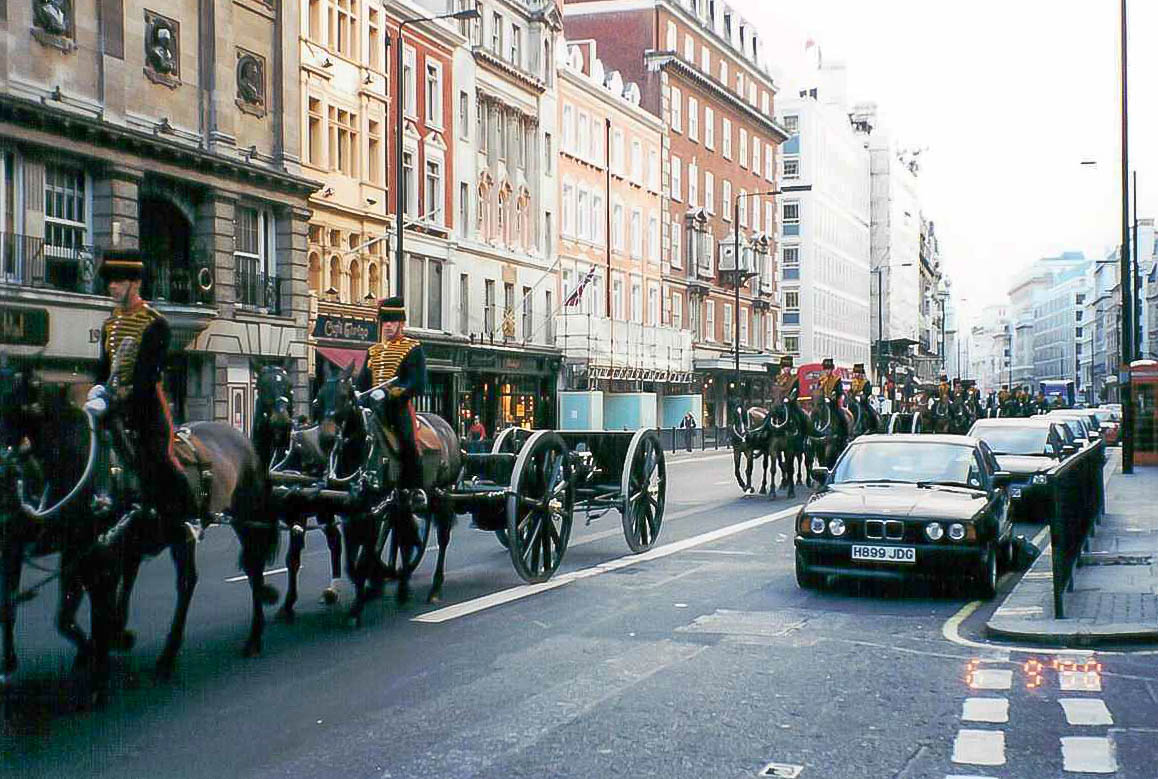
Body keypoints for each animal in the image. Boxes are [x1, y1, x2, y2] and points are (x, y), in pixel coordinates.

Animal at [314, 361, 463, 625]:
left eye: (345, 397)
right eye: (319, 398)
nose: (326, 438)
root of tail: (444, 424)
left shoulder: (374, 510)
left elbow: (365, 557)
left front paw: (357, 607)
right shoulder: (353, 512)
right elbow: (353, 561)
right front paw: (366, 592)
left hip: (442, 495)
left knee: (443, 539)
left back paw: (434, 589)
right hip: (403, 503)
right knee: (404, 539)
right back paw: (402, 588)